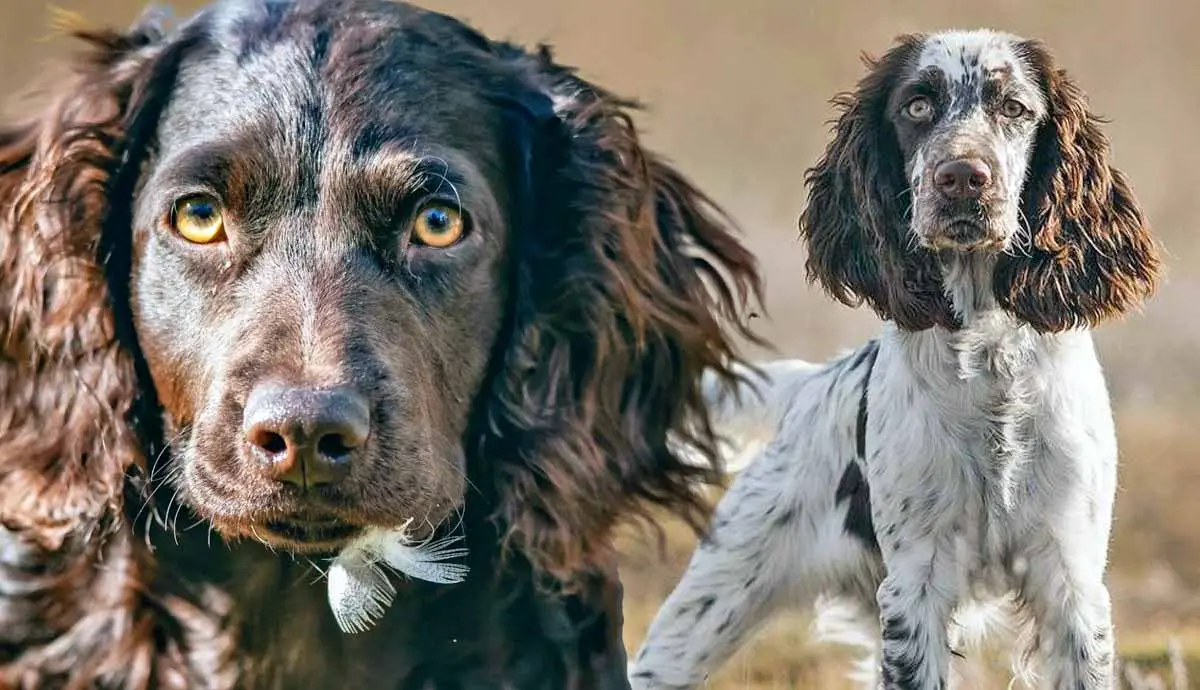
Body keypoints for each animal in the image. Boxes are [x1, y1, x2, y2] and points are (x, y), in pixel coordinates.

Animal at [633, 28, 1156, 690]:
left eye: (1014, 108)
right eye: (917, 105)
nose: (962, 176)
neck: (986, 356)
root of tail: (812, 387)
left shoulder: (1072, 581)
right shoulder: (916, 584)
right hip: (713, 598)